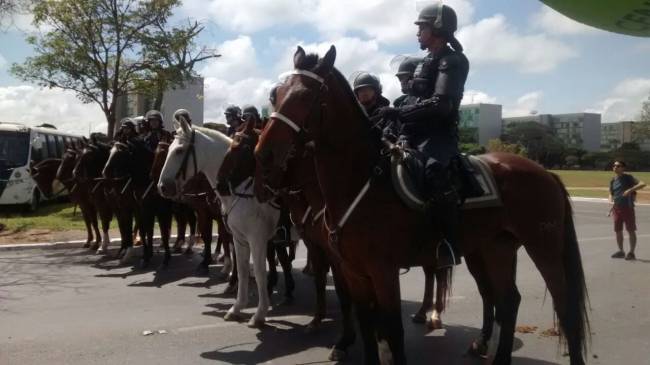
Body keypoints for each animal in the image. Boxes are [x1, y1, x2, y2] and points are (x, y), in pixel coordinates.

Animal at [158, 117, 280, 328]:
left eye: (180, 150)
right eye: (170, 148)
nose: (162, 187)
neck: (240, 187)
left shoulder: (257, 238)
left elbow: (258, 271)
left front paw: (259, 314)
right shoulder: (239, 238)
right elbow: (242, 268)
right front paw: (237, 307)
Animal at [253, 46, 588, 364]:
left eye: (305, 96)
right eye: (276, 96)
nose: (263, 155)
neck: (362, 181)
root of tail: (545, 172)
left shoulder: (383, 272)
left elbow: (393, 329)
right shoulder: (353, 271)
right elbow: (366, 322)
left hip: (542, 247)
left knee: (564, 306)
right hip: (496, 248)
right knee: (507, 300)